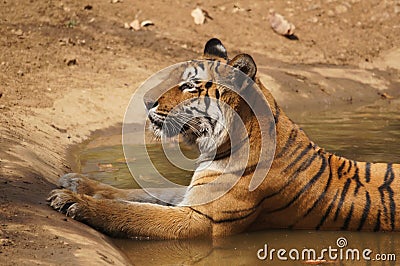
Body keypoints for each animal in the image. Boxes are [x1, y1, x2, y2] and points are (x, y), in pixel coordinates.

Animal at [48, 38, 400, 239]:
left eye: (189, 86)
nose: (147, 102)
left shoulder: (200, 219)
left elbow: (134, 212)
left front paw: (74, 201)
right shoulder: (191, 195)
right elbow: (138, 194)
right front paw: (77, 182)